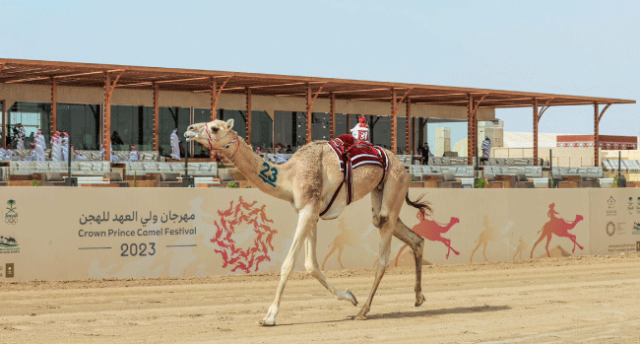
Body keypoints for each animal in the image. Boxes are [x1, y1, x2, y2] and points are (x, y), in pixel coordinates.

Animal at [185, 120, 430, 326]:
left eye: (215, 127)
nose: (189, 129)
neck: (290, 175)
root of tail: (404, 167)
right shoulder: (310, 213)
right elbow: (312, 265)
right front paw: (350, 296)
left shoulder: (309, 210)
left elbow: (289, 264)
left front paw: (269, 316)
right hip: (381, 194)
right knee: (413, 237)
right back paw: (418, 297)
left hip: (395, 185)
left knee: (383, 257)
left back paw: (363, 311)